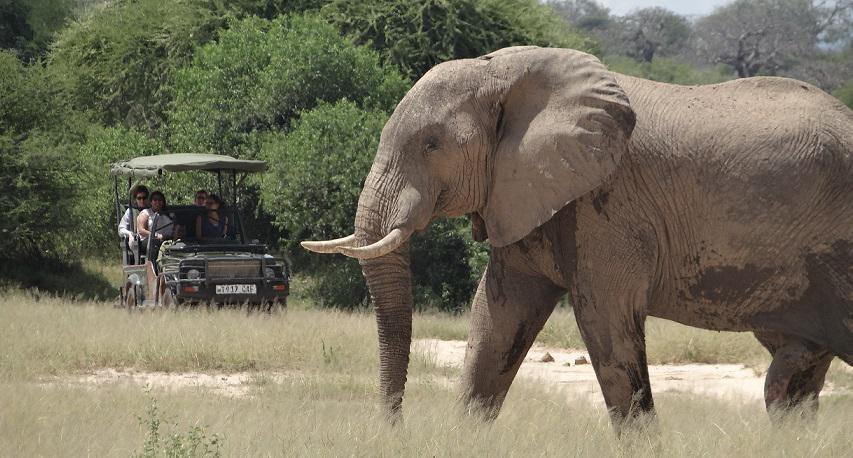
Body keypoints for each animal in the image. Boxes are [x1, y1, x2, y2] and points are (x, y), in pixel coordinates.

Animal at [302, 44, 852, 428]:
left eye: (431, 144)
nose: (394, 425)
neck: (506, 73)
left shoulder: (607, 204)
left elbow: (604, 321)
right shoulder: (526, 191)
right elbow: (496, 317)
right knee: (795, 371)